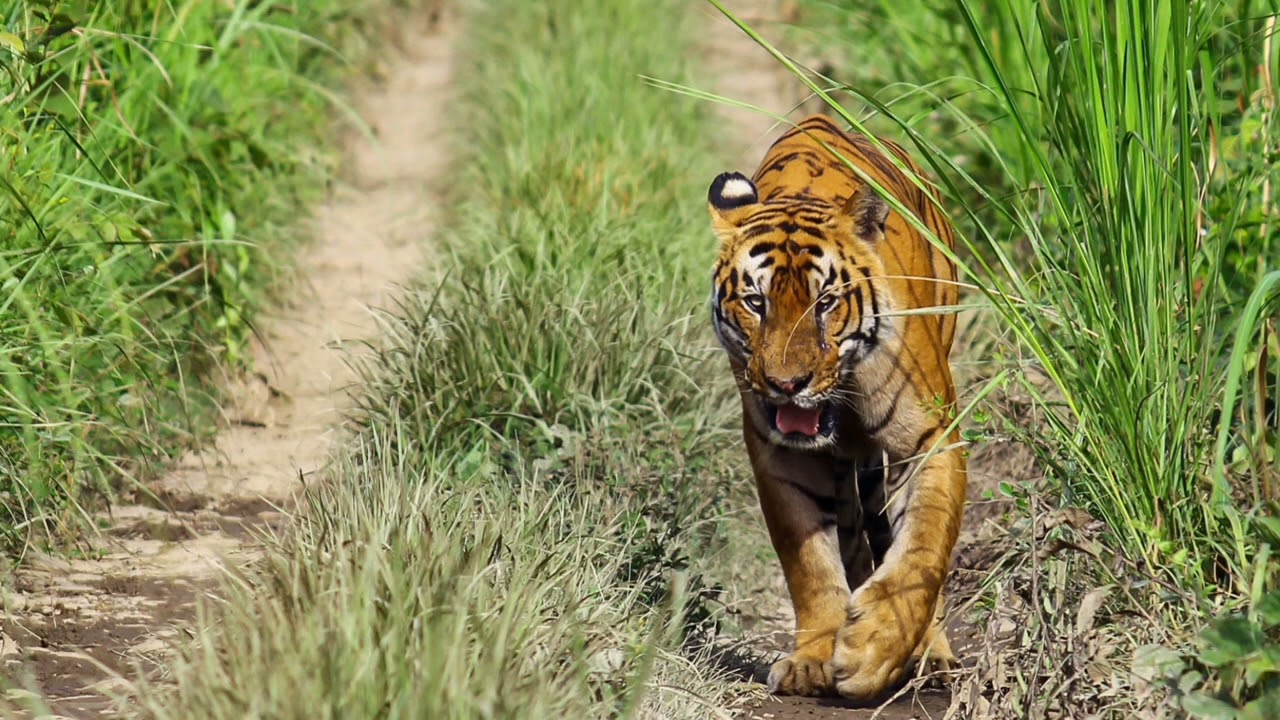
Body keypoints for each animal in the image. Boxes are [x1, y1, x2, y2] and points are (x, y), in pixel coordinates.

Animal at [707, 114, 967, 699]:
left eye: (824, 303)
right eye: (755, 302)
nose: (787, 383)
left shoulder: (928, 438)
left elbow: (924, 548)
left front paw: (876, 650)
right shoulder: (781, 455)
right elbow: (810, 565)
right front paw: (813, 660)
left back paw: (932, 654)